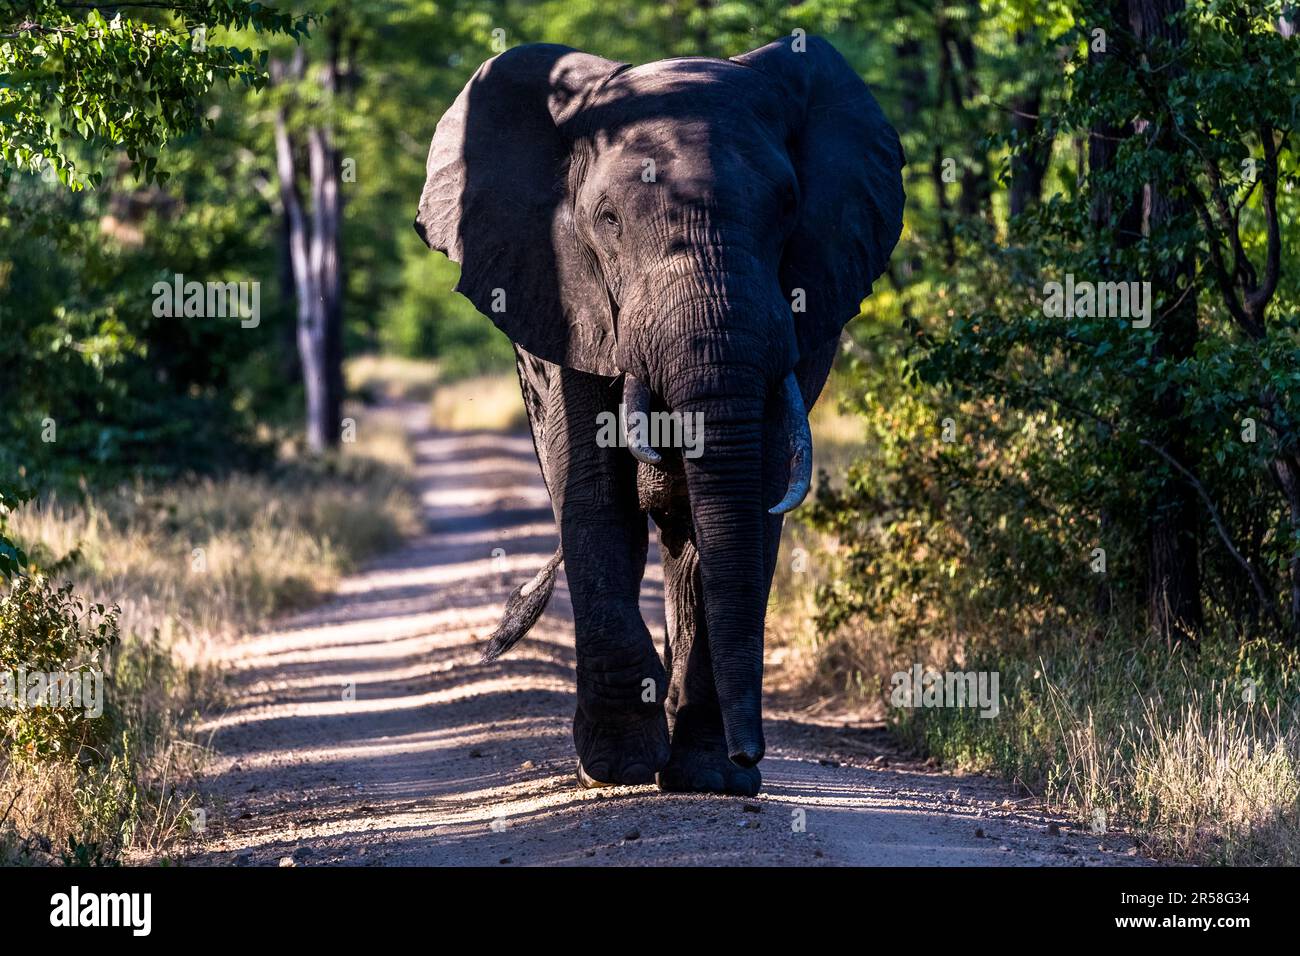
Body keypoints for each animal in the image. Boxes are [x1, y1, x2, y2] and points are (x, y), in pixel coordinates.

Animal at [414, 35, 904, 796]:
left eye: (788, 206)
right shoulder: (566, 294)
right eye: (608, 221)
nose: (750, 757)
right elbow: (595, 494)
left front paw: (710, 776)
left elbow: (749, 497)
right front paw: (618, 766)